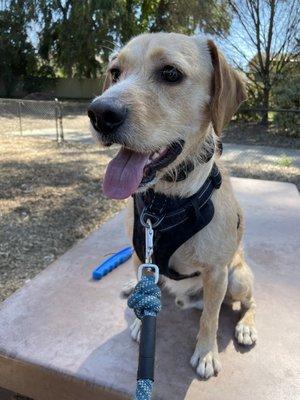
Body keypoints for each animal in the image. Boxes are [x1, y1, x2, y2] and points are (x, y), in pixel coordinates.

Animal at [87, 32, 258, 380]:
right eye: (115, 72)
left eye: (170, 73)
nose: (99, 113)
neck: (163, 203)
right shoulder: (143, 253)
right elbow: (146, 294)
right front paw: (142, 324)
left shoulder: (217, 273)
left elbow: (210, 319)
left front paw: (206, 352)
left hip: (237, 280)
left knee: (249, 302)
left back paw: (245, 326)